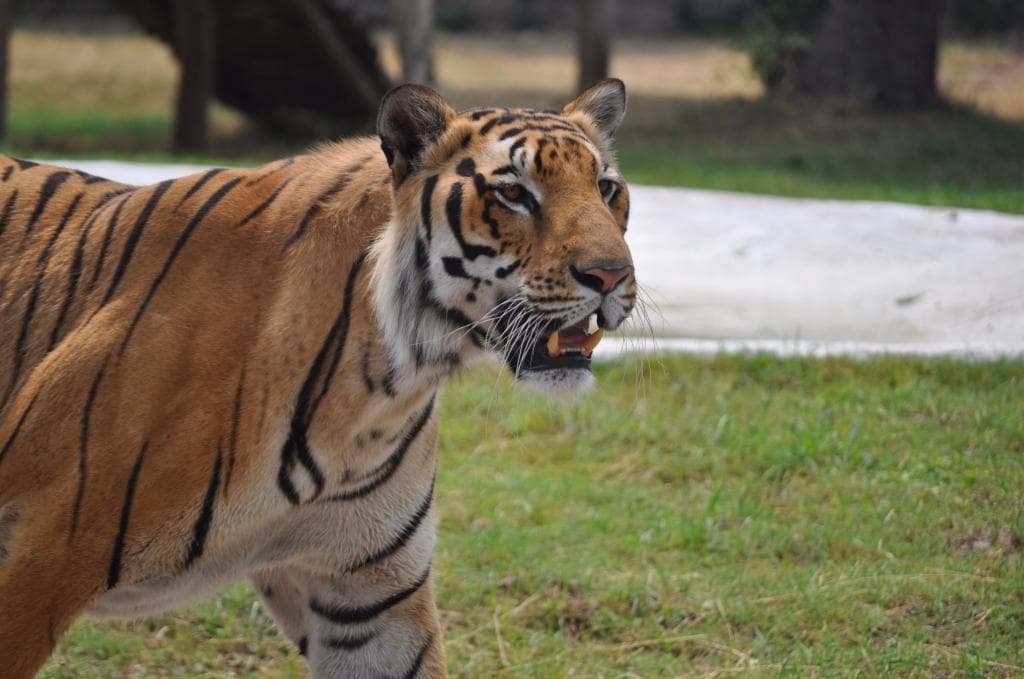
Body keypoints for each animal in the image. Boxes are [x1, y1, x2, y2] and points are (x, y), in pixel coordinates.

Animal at [0, 78, 635, 677]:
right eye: (513, 193)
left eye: (606, 189)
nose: (611, 275)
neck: (381, 393)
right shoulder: (37, 559)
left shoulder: (370, 594)